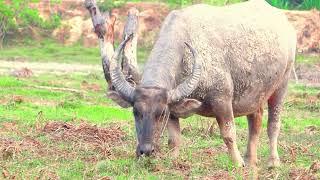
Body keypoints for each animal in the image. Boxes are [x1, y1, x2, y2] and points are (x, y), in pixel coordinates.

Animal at [107, 0, 296, 167]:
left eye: (160, 114)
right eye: (135, 112)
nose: (145, 151)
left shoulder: (222, 100)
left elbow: (228, 134)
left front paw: (237, 163)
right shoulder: (174, 109)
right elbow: (174, 139)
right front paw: (173, 161)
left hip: (282, 84)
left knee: (273, 124)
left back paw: (272, 162)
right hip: (255, 94)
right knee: (255, 122)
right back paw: (251, 160)